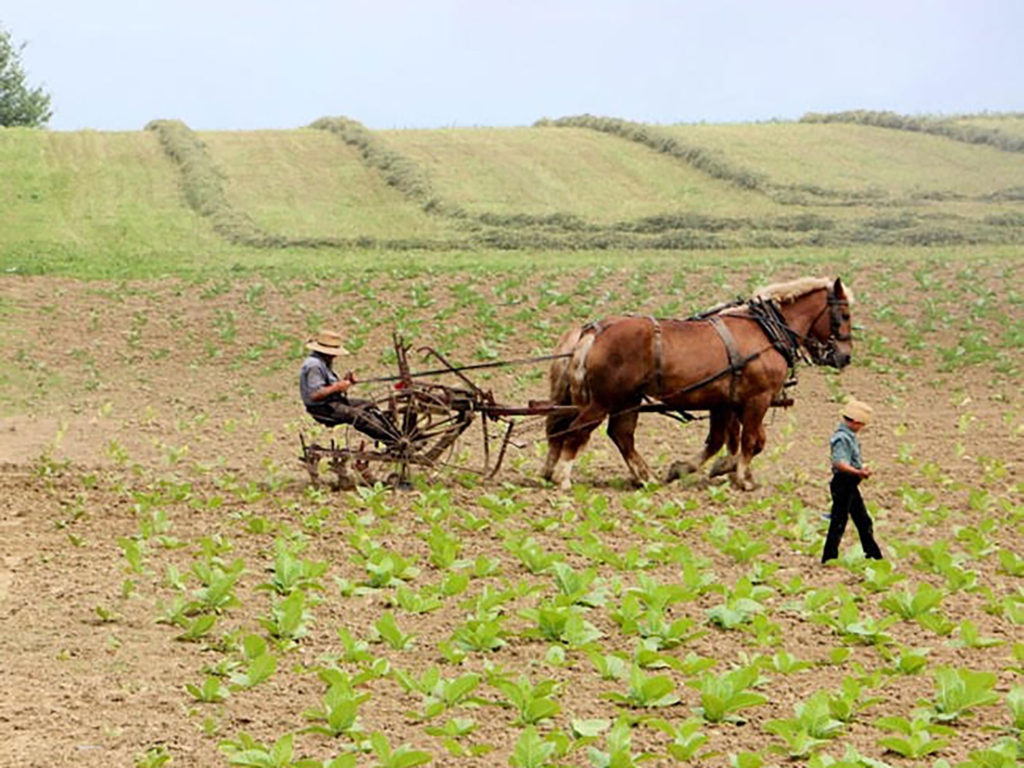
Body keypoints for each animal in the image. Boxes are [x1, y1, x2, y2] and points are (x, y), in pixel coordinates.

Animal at [544, 280, 856, 489]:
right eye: (845, 315)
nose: (845, 356)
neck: (765, 331)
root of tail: (594, 331)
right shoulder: (758, 399)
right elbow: (751, 440)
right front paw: (742, 478)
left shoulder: (724, 403)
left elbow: (723, 440)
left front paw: (699, 468)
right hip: (605, 400)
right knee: (577, 430)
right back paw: (562, 476)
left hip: (628, 400)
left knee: (620, 435)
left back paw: (646, 477)